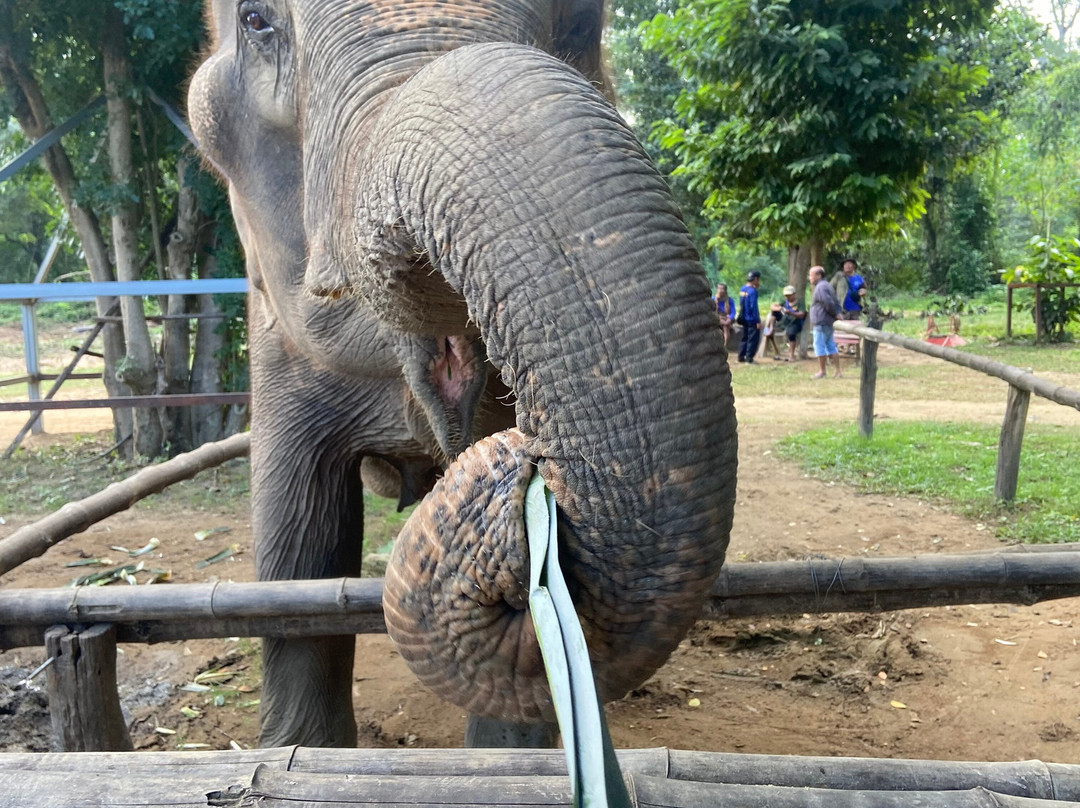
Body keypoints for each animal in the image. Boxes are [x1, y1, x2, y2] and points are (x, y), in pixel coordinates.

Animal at [188, 0, 738, 749]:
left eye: (580, 21)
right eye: (256, 21)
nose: (522, 464)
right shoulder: (276, 343)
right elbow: (295, 544)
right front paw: (298, 749)